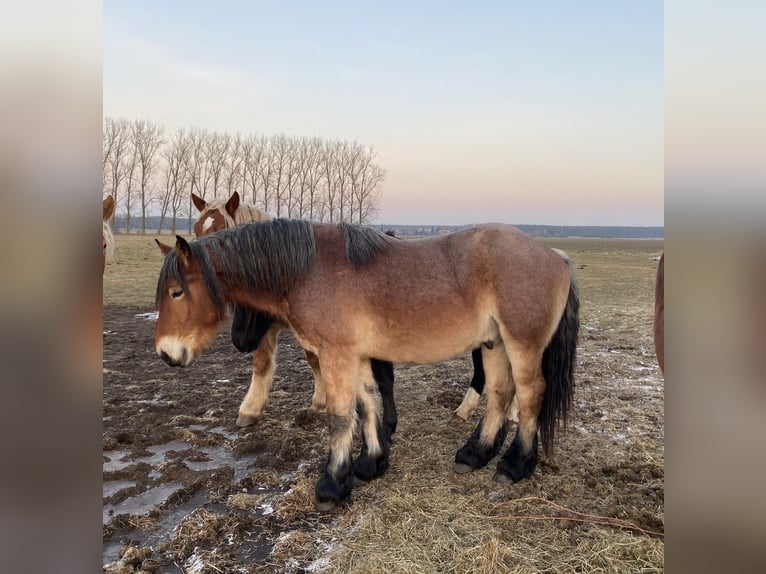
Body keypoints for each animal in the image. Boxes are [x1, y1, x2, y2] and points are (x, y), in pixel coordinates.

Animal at [154, 220, 579, 511]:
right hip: (493, 344)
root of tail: (556, 256)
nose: (166, 353)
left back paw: (515, 465)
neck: (309, 270)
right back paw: (475, 454)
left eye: (176, 292)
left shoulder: (337, 355)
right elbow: (369, 403)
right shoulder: (355, 356)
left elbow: (341, 417)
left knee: (530, 396)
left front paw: (332, 484)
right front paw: (371, 463)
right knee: (499, 394)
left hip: (521, 346)